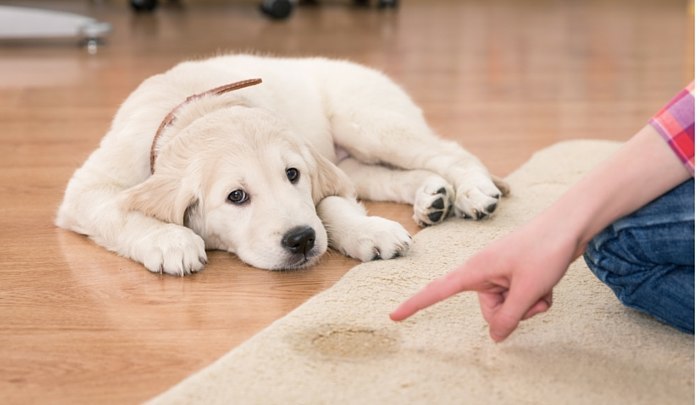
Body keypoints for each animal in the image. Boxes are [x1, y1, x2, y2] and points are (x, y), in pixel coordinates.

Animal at [56, 54, 508, 274]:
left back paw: (473, 192)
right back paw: (432, 196)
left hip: (368, 123)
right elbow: (118, 210)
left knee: (450, 151)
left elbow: (329, 204)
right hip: (355, 159)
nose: (301, 240)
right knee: (389, 176)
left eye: (292, 175)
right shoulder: (87, 189)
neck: (198, 108)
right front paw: (170, 241)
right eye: (236, 196)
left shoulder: (318, 171)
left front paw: (368, 231)